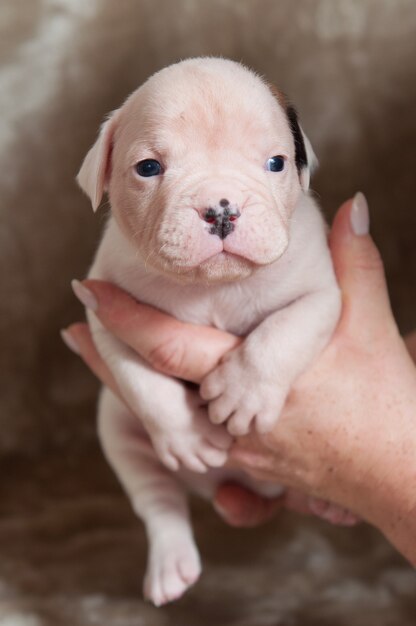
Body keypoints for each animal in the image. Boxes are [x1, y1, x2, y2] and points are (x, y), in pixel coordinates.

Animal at [76, 57, 342, 604]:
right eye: (148, 168)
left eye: (276, 163)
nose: (221, 208)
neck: (213, 287)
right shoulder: (106, 309)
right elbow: (142, 379)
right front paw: (187, 434)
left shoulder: (320, 294)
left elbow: (283, 332)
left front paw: (243, 393)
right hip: (118, 430)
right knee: (159, 500)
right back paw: (170, 563)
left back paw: (330, 502)